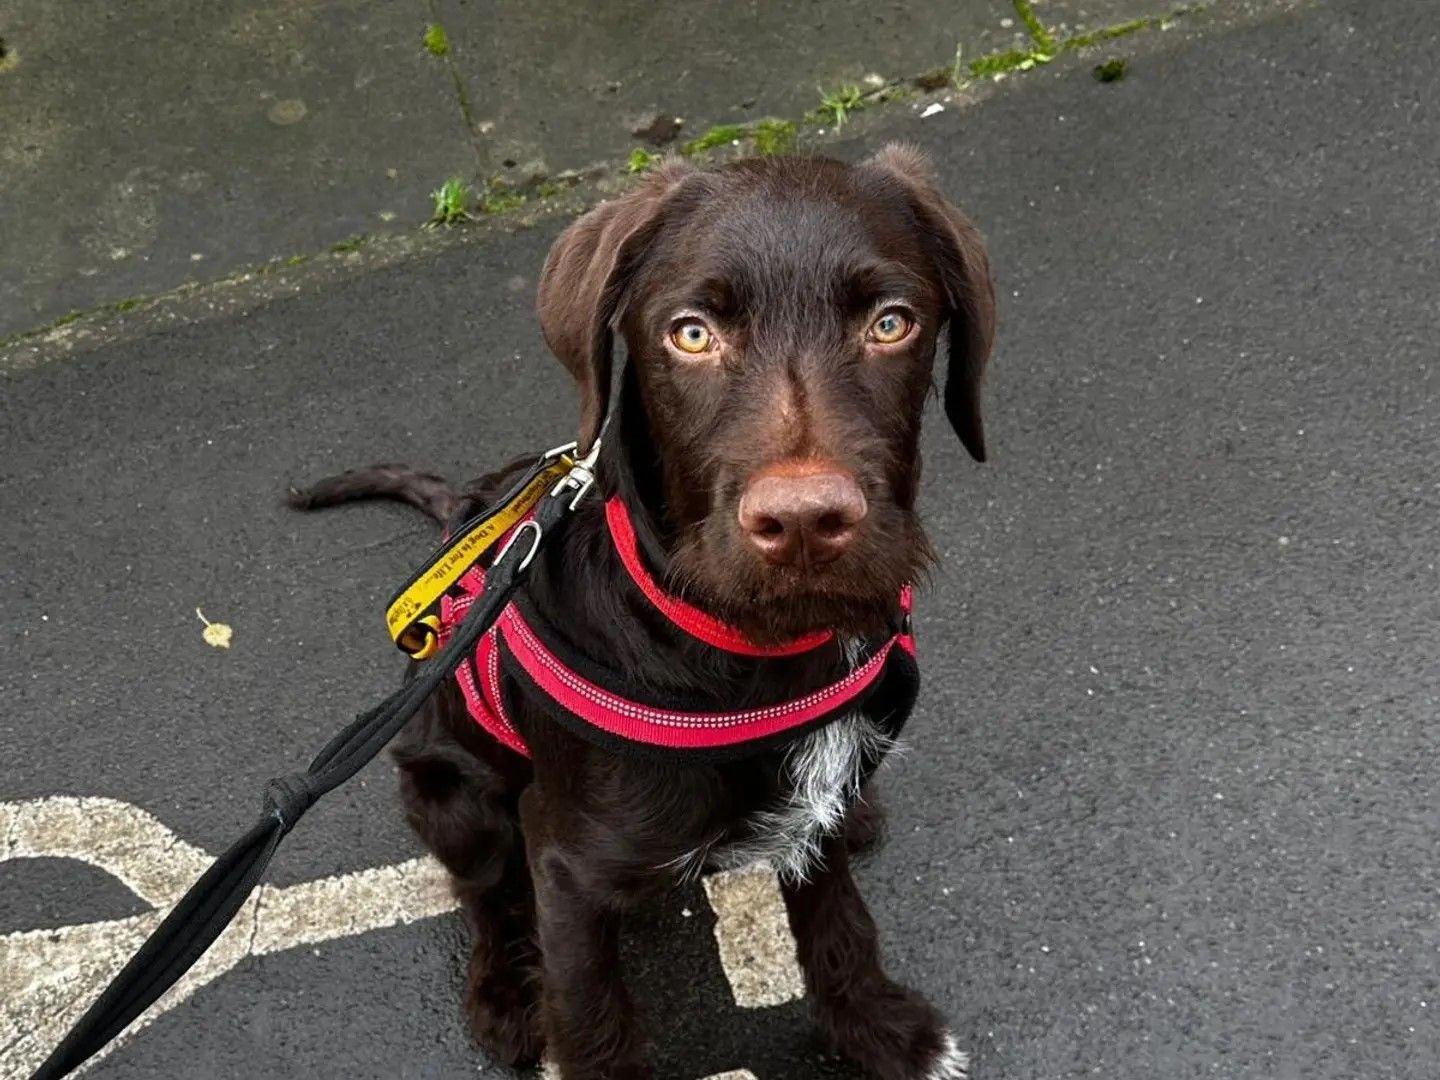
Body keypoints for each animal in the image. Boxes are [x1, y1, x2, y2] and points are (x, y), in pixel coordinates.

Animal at [292, 146, 990, 1080]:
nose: (806, 524)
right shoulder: (565, 871)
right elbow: (590, 1016)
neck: (750, 653)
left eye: (891, 323)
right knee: (484, 895)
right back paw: (503, 994)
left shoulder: (815, 802)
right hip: (453, 795)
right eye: (690, 333)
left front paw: (879, 1029)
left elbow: (840, 922)